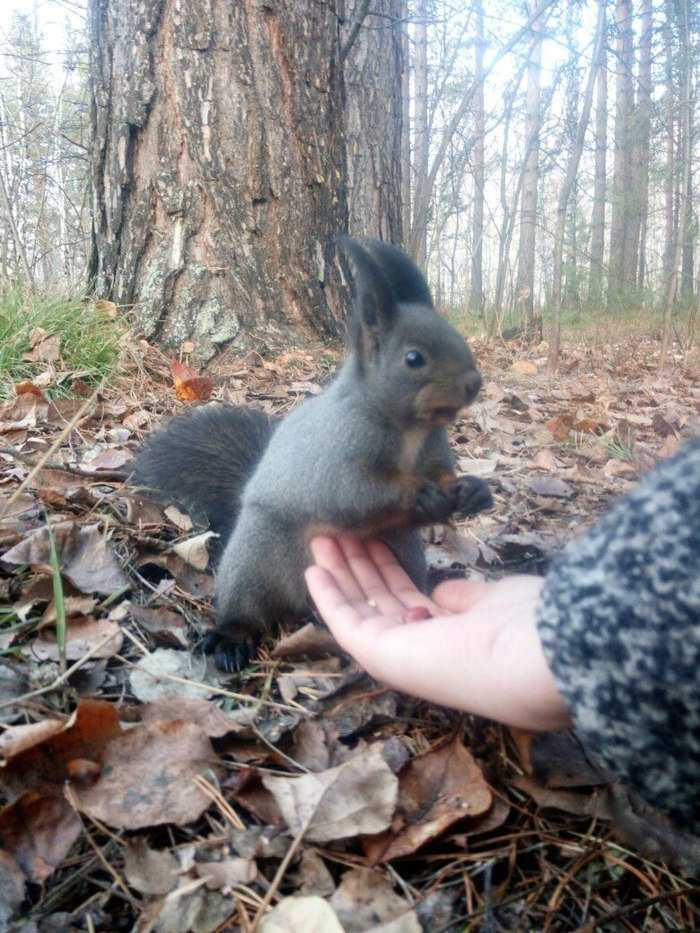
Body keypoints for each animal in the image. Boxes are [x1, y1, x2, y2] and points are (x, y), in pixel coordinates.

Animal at [133, 240, 492, 668]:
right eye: (413, 358)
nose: (474, 384)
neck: (410, 429)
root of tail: (301, 601)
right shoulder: (333, 456)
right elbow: (353, 496)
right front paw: (419, 494)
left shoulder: (433, 451)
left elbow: (442, 476)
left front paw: (471, 490)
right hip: (254, 557)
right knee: (246, 606)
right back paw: (232, 638)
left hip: (404, 554)